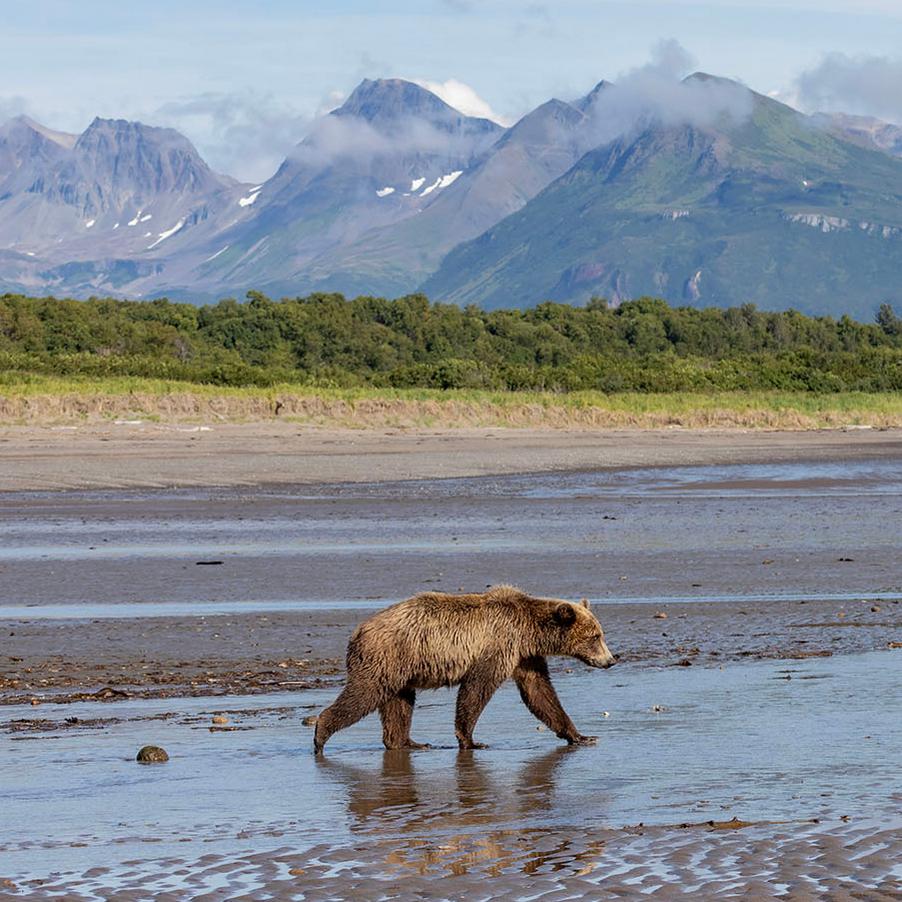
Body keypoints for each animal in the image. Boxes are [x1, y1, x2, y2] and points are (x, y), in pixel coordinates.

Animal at [313, 585, 616, 753]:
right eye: (595, 637)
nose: (610, 660)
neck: (529, 631)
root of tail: (358, 630)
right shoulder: (498, 645)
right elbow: (477, 689)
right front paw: (471, 740)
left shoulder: (524, 656)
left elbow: (540, 693)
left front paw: (581, 736)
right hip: (386, 658)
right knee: (364, 694)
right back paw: (320, 734)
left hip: (402, 669)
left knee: (399, 704)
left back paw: (408, 742)